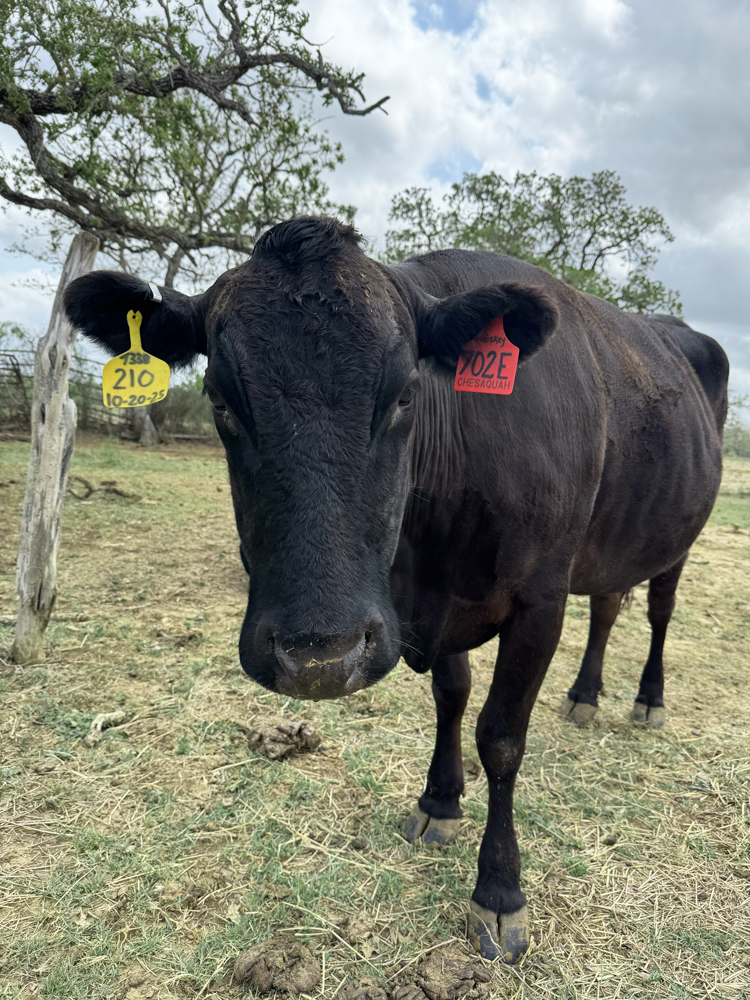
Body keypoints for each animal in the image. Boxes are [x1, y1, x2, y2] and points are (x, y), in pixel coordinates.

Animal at [64, 216, 728, 963]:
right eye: (222, 400)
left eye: (406, 394)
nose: (319, 657)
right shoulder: (437, 603)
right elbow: (452, 697)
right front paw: (439, 803)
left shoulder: (540, 598)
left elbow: (501, 736)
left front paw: (500, 891)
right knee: (610, 603)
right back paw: (585, 696)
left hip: (678, 535)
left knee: (660, 609)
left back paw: (648, 701)